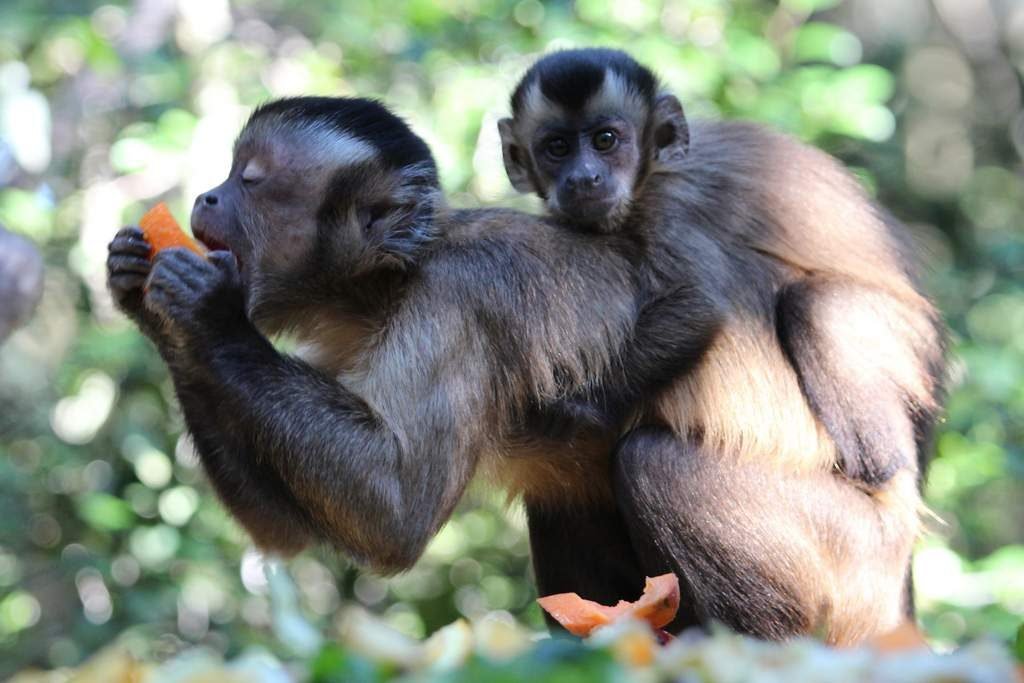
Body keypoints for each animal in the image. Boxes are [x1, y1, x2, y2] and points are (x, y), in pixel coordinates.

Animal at [499, 50, 946, 643]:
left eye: (606, 140)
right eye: (555, 148)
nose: (584, 176)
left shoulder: (668, 209)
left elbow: (700, 307)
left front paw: (567, 411)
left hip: (859, 558)